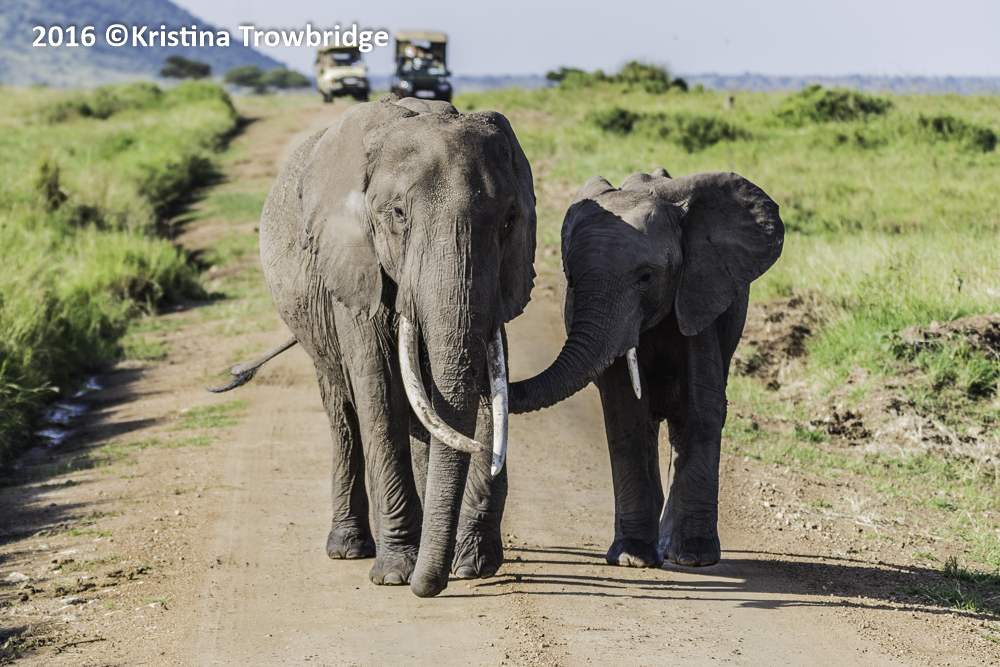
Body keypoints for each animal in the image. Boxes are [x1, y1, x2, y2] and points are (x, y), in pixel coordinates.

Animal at [210, 95, 537, 597]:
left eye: (509, 220)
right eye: (398, 215)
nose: (430, 586)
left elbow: (479, 389)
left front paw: (472, 565)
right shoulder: (353, 264)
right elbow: (378, 389)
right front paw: (396, 574)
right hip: (316, 323)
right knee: (343, 410)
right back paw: (350, 548)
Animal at [509, 168, 783, 569]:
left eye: (646, 276)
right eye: (570, 278)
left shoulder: (699, 290)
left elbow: (702, 408)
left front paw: (694, 558)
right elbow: (625, 411)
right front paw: (632, 558)